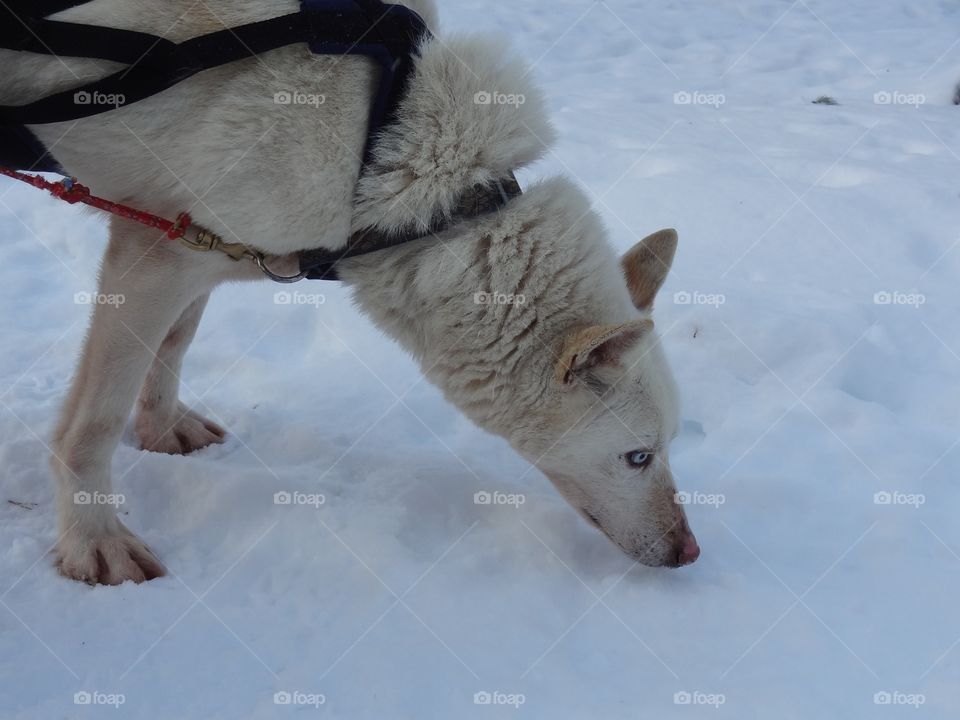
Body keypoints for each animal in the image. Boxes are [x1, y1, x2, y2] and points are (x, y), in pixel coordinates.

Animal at [0, 1, 696, 584]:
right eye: (639, 456)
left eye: (669, 445)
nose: (690, 551)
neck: (390, 157)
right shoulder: (152, 259)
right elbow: (93, 424)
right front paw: (94, 541)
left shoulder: (196, 251)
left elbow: (174, 345)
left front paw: (163, 426)